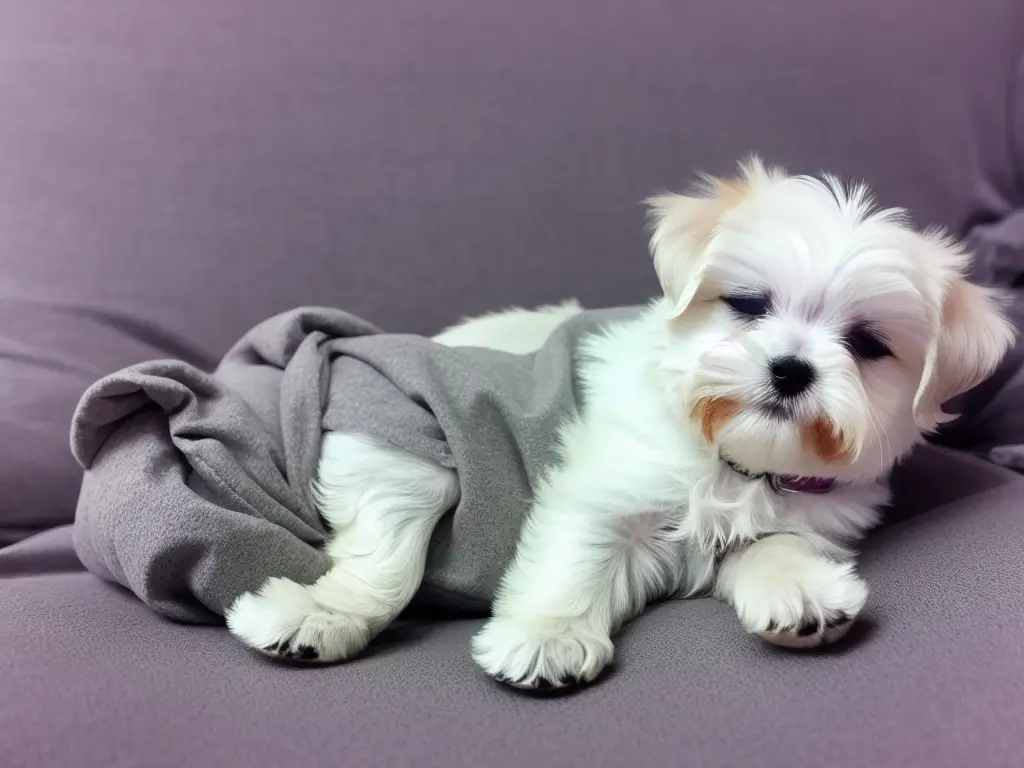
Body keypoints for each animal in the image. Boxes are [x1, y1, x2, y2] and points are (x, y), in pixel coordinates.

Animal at [228, 160, 1011, 692]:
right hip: (398, 438)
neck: (731, 459)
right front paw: (546, 637)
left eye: (868, 345)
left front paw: (801, 592)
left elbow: (774, 544)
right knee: (381, 560)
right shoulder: (604, 485)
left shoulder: (807, 510)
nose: (791, 370)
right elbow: (575, 553)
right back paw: (317, 617)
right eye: (748, 304)